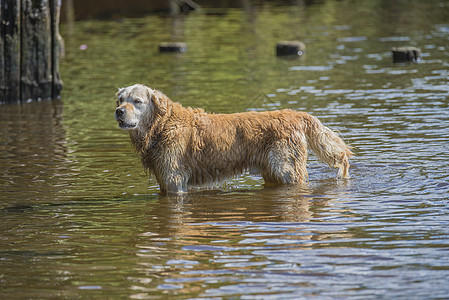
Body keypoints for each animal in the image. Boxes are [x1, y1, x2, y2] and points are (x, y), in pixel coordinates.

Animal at [114, 83, 352, 193]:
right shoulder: (164, 181)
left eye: (137, 101)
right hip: (272, 172)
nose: (118, 111)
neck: (161, 125)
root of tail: (294, 114)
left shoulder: (174, 179)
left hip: (287, 169)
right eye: (120, 99)